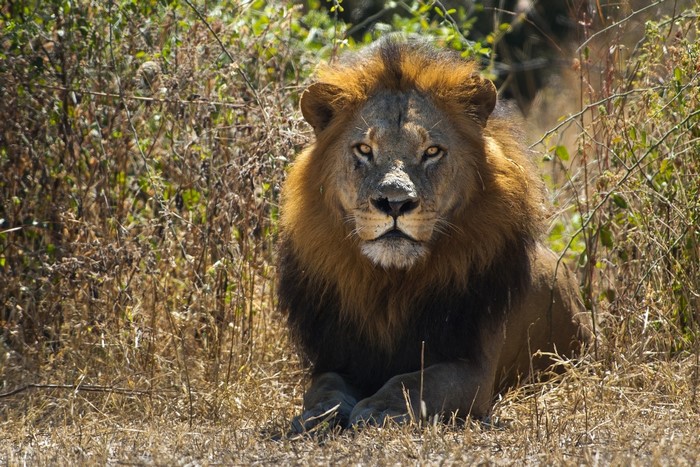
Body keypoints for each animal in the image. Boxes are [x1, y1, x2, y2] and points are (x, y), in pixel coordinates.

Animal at [278, 35, 592, 432]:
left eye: (431, 151)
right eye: (364, 149)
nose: (394, 203)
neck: (388, 285)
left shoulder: (473, 368)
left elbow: (417, 381)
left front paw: (379, 408)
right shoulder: (337, 356)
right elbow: (325, 387)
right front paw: (318, 414)